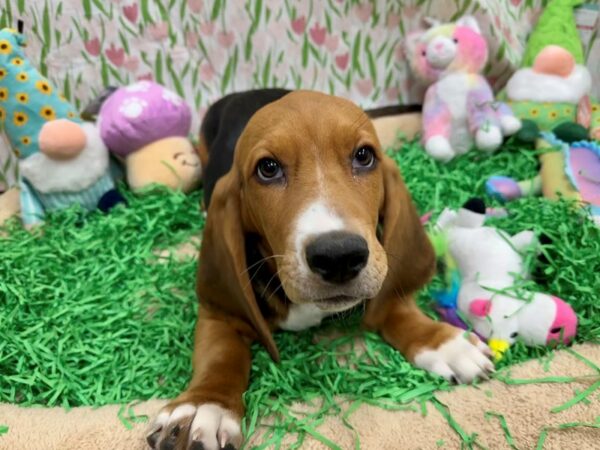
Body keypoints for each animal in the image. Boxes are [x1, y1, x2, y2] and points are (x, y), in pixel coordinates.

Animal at [146, 89, 492, 448]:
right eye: (267, 168)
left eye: (364, 156)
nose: (338, 255)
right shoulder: (219, 312)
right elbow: (221, 353)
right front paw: (204, 405)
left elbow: (392, 305)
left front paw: (443, 342)